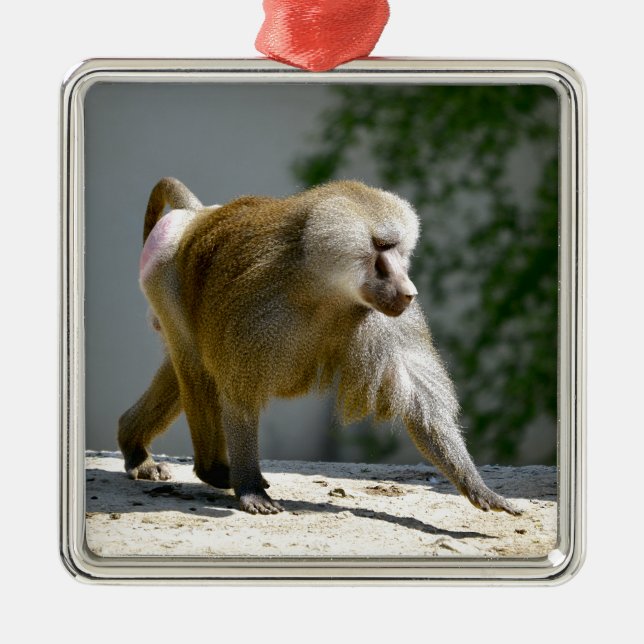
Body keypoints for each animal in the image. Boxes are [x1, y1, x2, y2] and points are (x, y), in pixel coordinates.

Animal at [118, 177, 520, 516]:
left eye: (397, 249)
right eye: (382, 247)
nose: (409, 292)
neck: (322, 287)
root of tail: (198, 217)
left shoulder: (383, 317)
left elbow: (420, 400)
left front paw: (478, 487)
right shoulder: (254, 315)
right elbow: (240, 396)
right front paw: (250, 490)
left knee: (187, 364)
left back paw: (139, 448)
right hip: (163, 272)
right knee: (194, 365)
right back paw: (213, 470)